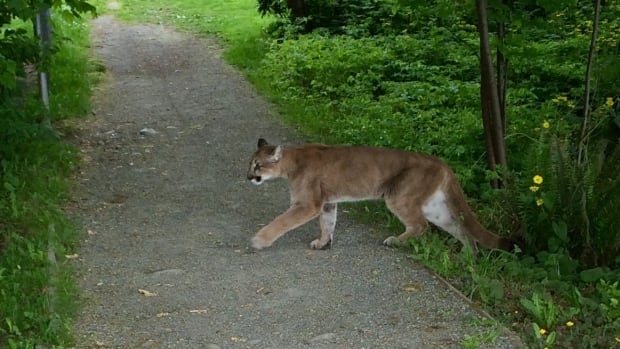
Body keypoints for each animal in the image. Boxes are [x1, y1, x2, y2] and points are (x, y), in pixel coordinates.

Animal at [247, 137, 512, 251]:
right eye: (250, 164)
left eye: (257, 166)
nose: (248, 177)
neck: (291, 162)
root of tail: (440, 161)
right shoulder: (327, 202)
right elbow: (328, 223)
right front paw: (323, 242)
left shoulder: (307, 204)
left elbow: (281, 222)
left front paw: (259, 240)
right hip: (435, 207)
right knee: (459, 228)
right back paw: (469, 257)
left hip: (399, 197)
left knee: (421, 226)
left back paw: (394, 241)